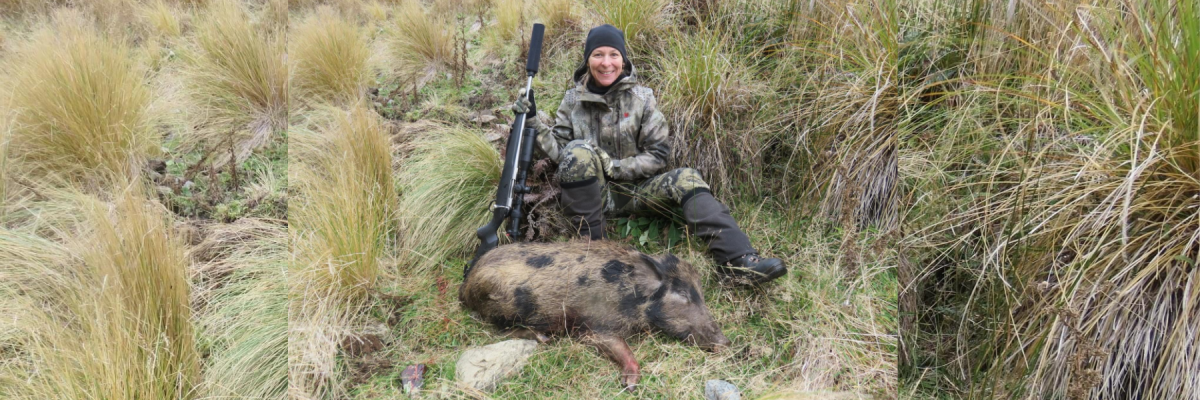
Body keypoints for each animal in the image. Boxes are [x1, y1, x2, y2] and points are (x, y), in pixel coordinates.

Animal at [459, 240, 731, 390]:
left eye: (701, 293)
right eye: (682, 293)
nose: (725, 342)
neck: (633, 294)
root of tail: (467, 285)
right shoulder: (595, 325)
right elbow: (619, 347)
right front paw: (630, 386)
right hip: (503, 307)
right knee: (502, 330)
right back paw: (543, 338)